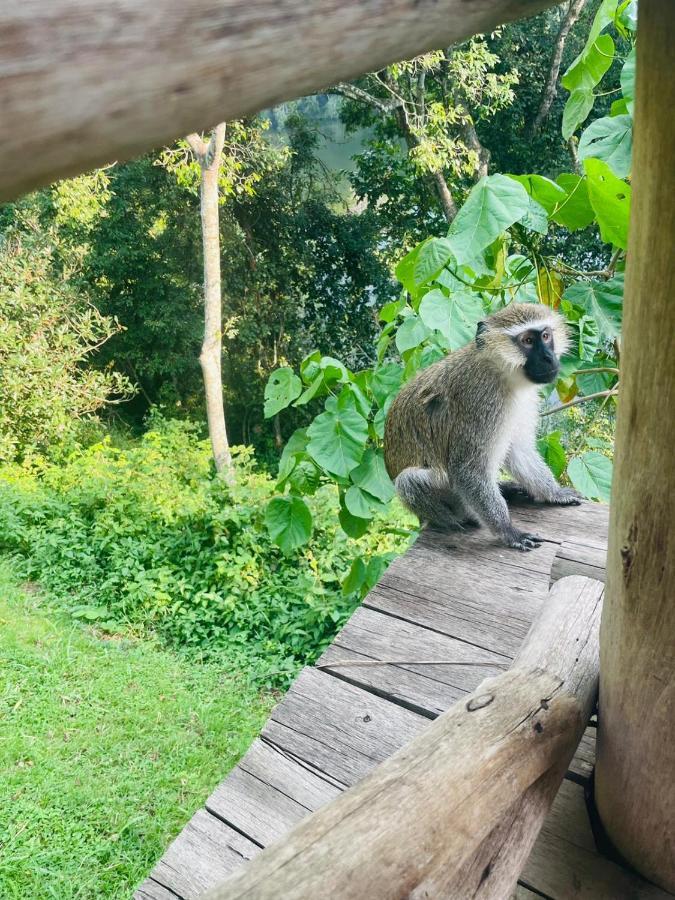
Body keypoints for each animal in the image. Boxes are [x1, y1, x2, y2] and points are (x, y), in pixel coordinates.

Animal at [386, 302, 580, 548]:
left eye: (546, 336)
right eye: (527, 340)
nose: (549, 358)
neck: (501, 371)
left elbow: (519, 451)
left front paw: (555, 493)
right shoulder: (481, 402)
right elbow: (468, 470)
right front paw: (508, 531)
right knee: (408, 481)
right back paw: (463, 519)